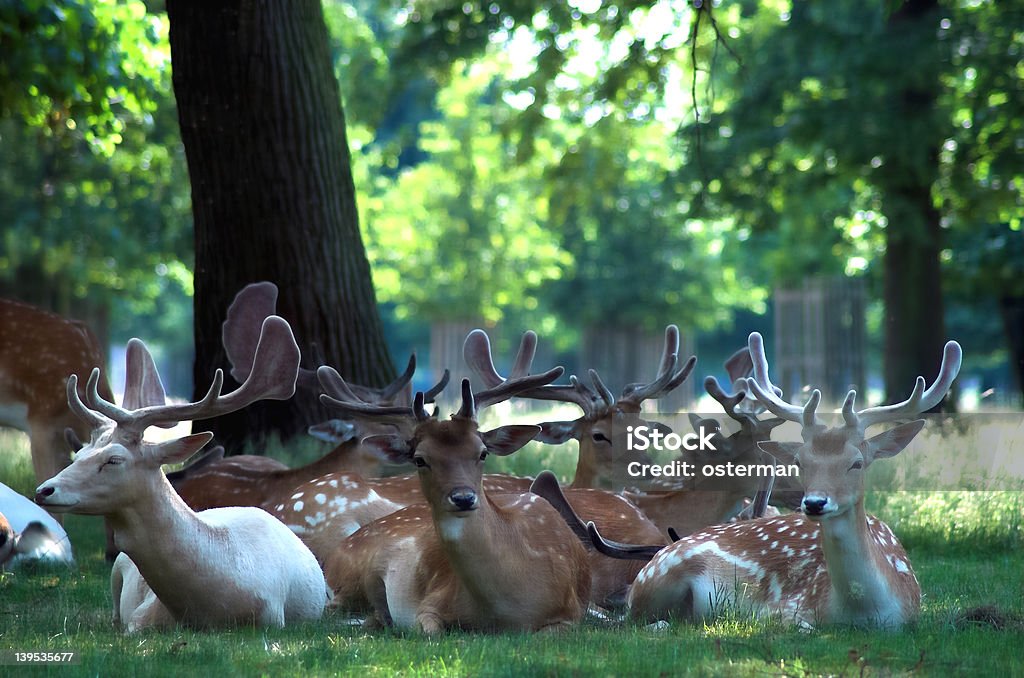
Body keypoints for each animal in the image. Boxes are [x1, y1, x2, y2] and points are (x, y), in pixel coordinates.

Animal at [34, 315, 327, 634]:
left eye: (114, 459)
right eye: (79, 454)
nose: (44, 490)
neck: (208, 610)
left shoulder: (272, 619)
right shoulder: (138, 616)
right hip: (116, 570)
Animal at [319, 358, 593, 634]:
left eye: (483, 452)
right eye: (420, 459)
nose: (463, 498)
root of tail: (332, 554)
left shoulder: (571, 613)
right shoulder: (432, 602)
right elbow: (430, 630)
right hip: (353, 575)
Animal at [593, 333, 958, 630]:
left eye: (857, 463)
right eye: (800, 461)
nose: (814, 502)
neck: (864, 611)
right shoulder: (786, 608)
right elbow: (798, 625)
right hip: (660, 574)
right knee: (637, 618)